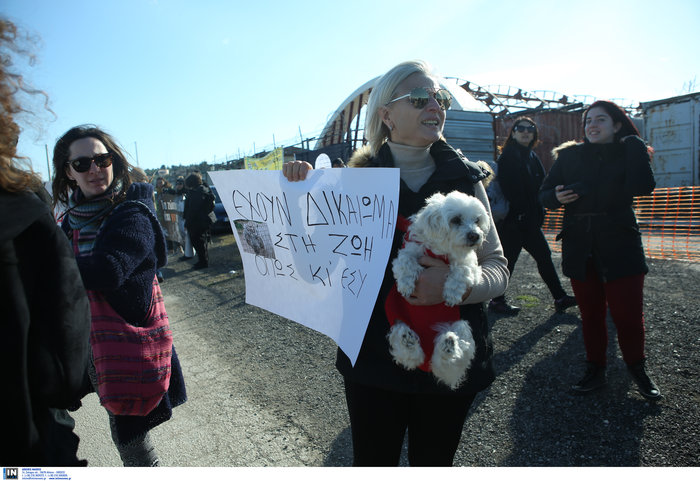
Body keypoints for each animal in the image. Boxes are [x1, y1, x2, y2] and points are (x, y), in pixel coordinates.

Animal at [392, 189, 490, 388]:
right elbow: (406, 261)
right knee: (409, 357)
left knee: (452, 359)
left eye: (477, 220)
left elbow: (461, 270)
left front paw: (451, 294)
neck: (442, 250)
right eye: (456, 219)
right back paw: (408, 341)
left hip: (462, 326)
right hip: (396, 320)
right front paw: (406, 284)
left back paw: (448, 345)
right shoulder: (410, 250)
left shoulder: (470, 265)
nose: (475, 235)